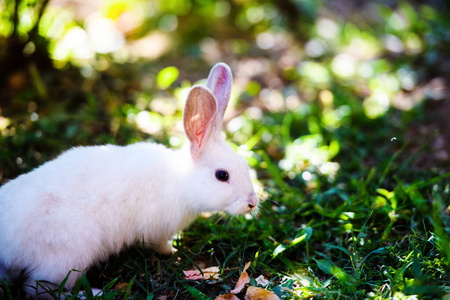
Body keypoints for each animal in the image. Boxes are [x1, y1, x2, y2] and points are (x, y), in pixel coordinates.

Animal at [0, 62, 260, 296]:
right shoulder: (155, 230)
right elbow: (158, 244)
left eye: (245, 164)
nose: (252, 203)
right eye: (222, 175)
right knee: (39, 289)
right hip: (66, 257)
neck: (182, 182)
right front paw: (171, 252)